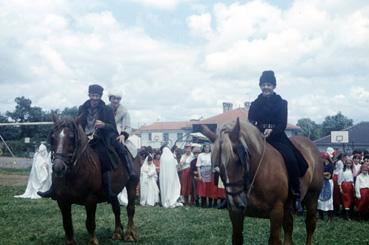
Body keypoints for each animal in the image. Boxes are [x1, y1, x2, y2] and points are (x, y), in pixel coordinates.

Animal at [49, 117, 141, 245]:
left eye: (72, 137)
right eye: (53, 137)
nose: (58, 168)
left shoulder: (90, 200)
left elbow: (90, 223)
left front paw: (93, 241)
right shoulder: (62, 201)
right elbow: (67, 224)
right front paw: (70, 241)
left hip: (132, 184)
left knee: (130, 209)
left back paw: (129, 235)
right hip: (112, 192)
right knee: (116, 208)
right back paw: (117, 233)